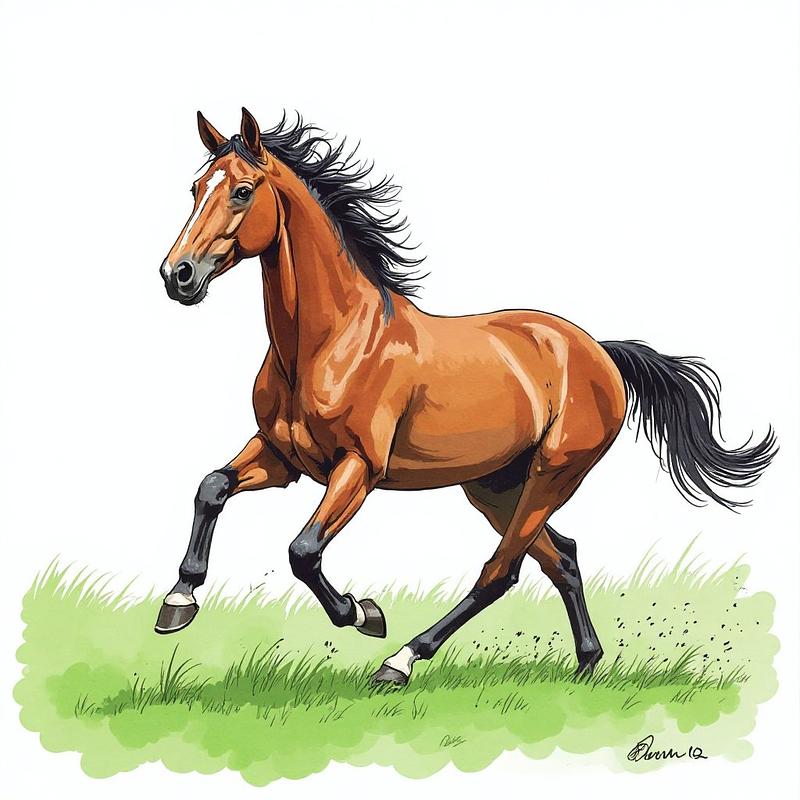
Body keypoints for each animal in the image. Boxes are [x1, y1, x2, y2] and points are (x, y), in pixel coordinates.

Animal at [155, 108, 777, 686]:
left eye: (241, 191)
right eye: (195, 188)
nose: (177, 275)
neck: (329, 341)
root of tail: (597, 351)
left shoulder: (359, 467)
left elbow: (303, 552)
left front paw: (363, 613)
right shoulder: (283, 456)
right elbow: (211, 488)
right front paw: (178, 602)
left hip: (553, 474)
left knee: (501, 572)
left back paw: (401, 660)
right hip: (495, 487)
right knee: (562, 558)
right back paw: (585, 663)